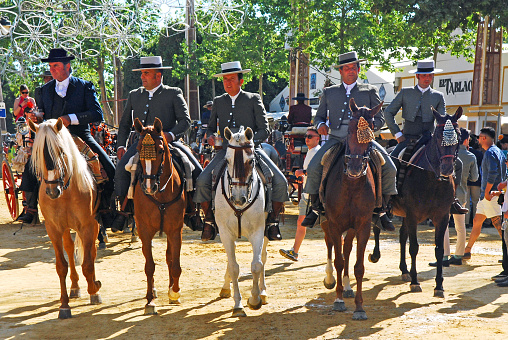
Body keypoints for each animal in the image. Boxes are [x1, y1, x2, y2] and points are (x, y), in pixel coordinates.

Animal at [28, 118, 101, 320]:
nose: (53, 191)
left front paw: (94, 289)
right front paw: (64, 305)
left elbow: (87, 263)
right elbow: (61, 266)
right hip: (67, 227)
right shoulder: (53, 228)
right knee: (69, 247)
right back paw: (74, 288)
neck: (67, 191)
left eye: (61, 151)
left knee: (92, 251)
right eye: (39, 153)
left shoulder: (87, 225)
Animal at [132, 117, 186, 316]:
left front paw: (175, 292)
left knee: (170, 257)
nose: (149, 186)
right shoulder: (144, 231)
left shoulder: (175, 230)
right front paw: (149, 301)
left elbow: (175, 263)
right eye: (138, 149)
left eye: (161, 150)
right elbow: (149, 266)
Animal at [214, 126, 270, 318]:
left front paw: (254, 299)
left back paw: (263, 292)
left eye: (251, 161)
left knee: (263, 257)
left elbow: (256, 265)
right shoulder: (225, 233)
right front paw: (238, 305)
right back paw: (225, 287)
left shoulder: (258, 232)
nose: (238, 199)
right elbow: (233, 267)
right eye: (227, 160)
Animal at [322, 99, 380, 322]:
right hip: (327, 222)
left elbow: (358, 266)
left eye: (371, 131)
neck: (351, 185)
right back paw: (331, 279)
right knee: (331, 245)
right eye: (348, 131)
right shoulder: (334, 223)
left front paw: (359, 307)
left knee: (346, 249)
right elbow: (338, 260)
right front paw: (338, 300)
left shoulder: (363, 225)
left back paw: (347, 287)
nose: (355, 168)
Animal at [370, 107, 464, 298]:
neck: (432, 178)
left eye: (458, 135)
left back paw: (404, 270)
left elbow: (439, 250)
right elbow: (413, 247)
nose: (446, 169)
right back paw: (375, 255)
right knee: (377, 226)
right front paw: (415, 282)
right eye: (438, 136)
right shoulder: (413, 215)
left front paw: (439, 286)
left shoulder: (442, 216)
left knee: (401, 236)